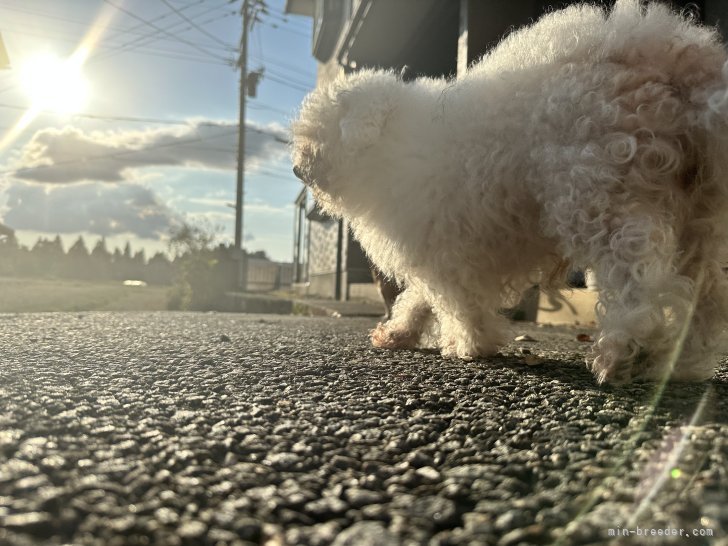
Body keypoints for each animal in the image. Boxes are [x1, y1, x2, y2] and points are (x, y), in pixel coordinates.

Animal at [292, 0, 728, 382]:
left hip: (599, 195)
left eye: (312, 137)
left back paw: (625, 351)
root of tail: (679, 59)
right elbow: (421, 296)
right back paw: (682, 364)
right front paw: (402, 331)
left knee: (636, 275)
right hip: (701, 213)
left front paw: (470, 344)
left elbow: (455, 299)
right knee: (706, 294)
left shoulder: (445, 244)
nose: (298, 169)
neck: (391, 143)